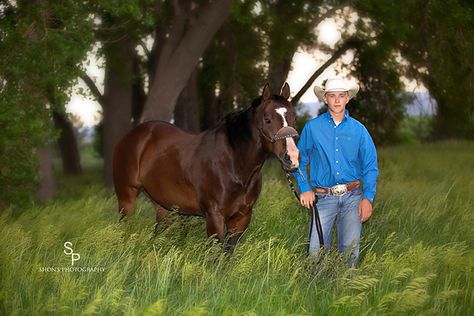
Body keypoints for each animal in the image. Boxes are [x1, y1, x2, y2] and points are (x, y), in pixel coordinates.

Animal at [113, 84, 300, 249]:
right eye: (267, 120)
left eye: (293, 118)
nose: (291, 157)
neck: (234, 165)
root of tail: (133, 135)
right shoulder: (214, 216)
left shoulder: (241, 218)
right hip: (127, 198)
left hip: (162, 204)